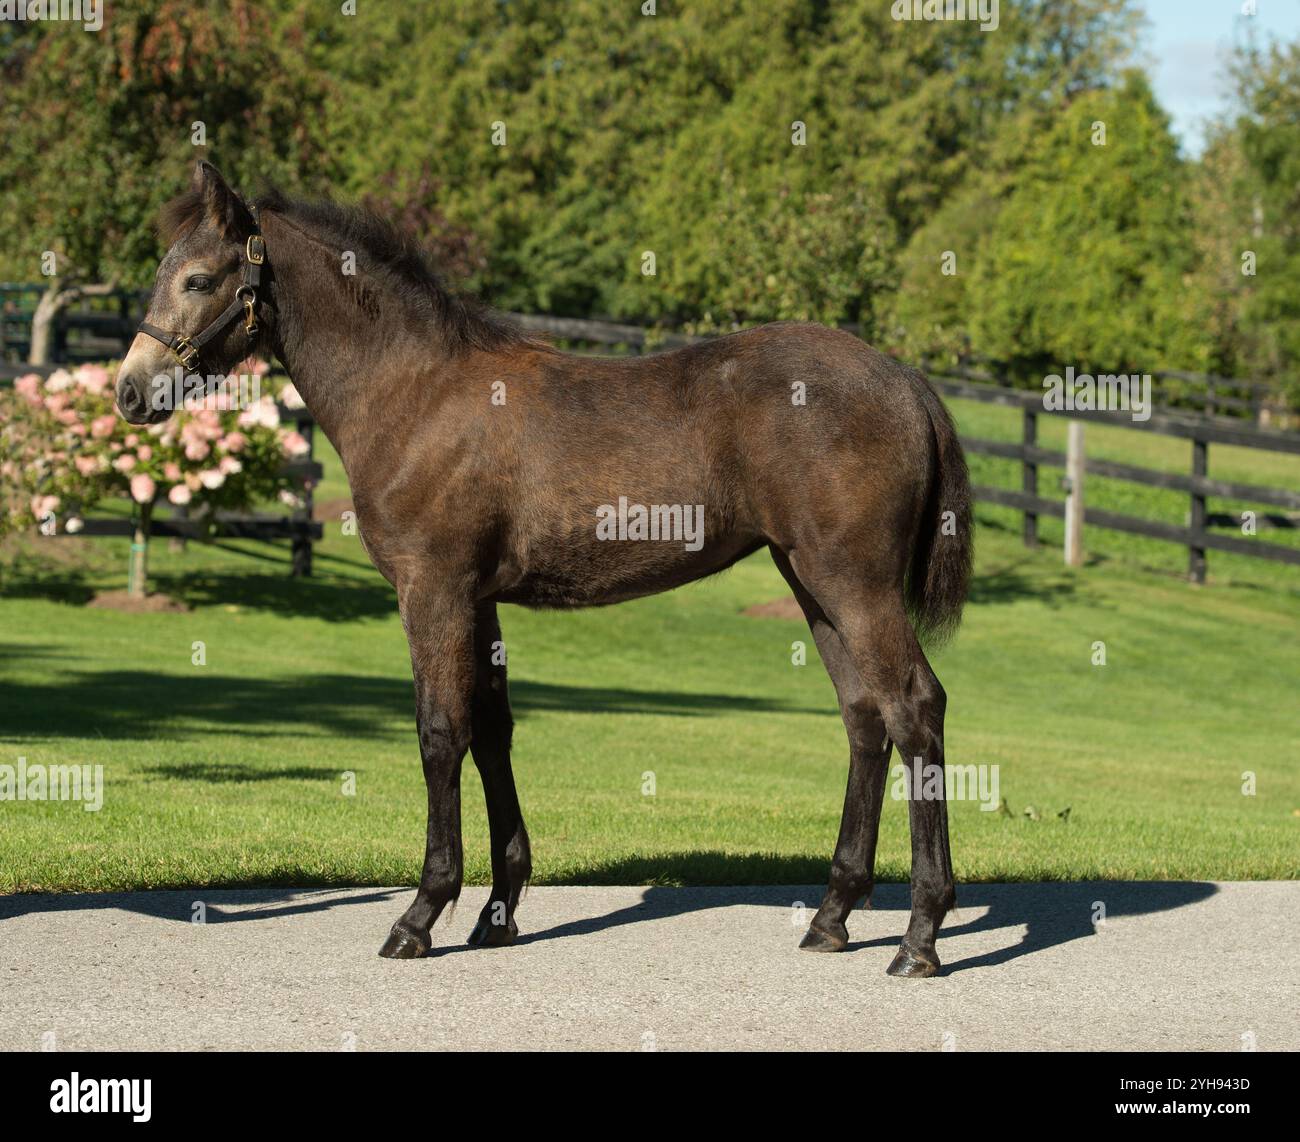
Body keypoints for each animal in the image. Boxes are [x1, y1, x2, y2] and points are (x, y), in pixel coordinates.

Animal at [116, 161, 973, 977]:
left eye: (199, 279)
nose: (130, 392)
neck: (414, 392)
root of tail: (902, 377)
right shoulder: (480, 600)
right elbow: (492, 731)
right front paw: (498, 911)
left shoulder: (433, 590)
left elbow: (440, 732)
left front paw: (420, 916)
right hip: (813, 585)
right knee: (865, 718)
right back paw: (832, 918)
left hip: (854, 585)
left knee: (915, 707)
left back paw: (920, 936)